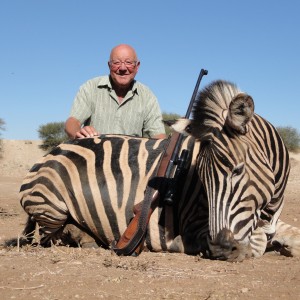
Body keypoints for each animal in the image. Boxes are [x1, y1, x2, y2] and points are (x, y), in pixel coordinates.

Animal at [19, 81, 300, 262]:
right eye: (202, 181)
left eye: (238, 170)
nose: (220, 249)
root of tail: (53, 151)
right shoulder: (196, 223)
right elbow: (257, 244)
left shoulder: (271, 219)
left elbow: (291, 233)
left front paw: (286, 245)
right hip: (51, 206)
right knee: (49, 237)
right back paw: (83, 238)